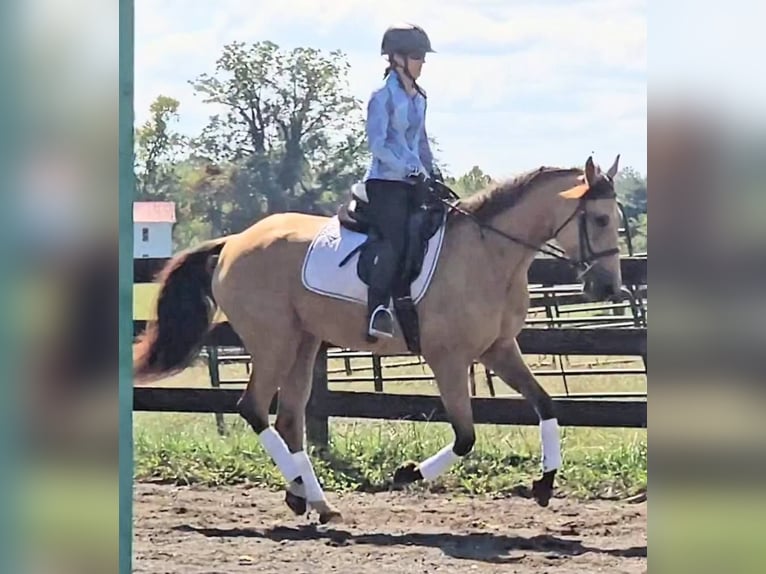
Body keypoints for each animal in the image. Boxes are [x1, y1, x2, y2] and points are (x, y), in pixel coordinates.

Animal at [134, 154, 624, 524]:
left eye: (616, 220)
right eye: (599, 218)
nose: (608, 288)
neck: (488, 254)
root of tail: (233, 242)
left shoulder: (498, 350)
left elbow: (546, 404)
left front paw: (544, 483)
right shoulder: (449, 360)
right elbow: (465, 436)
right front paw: (407, 474)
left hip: (303, 342)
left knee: (290, 418)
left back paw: (312, 499)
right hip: (273, 341)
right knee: (253, 408)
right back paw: (306, 492)